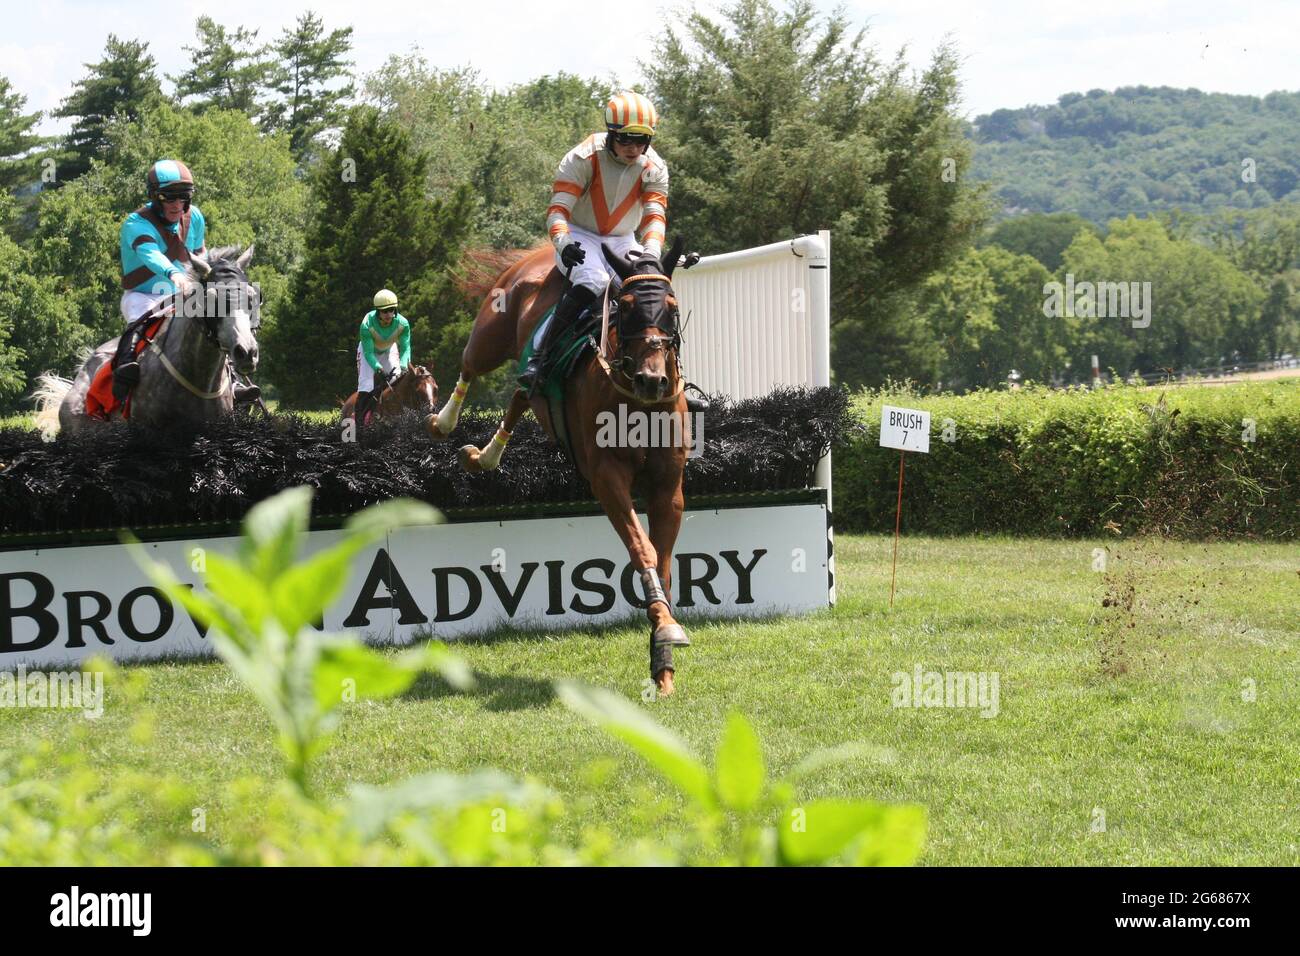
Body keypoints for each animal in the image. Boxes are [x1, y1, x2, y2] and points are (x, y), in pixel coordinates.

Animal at [426, 239, 691, 697]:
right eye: (624, 308)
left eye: (671, 308)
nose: (651, 380)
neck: (637, 403)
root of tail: (539, 252)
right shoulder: (606, 479)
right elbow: (643, 550)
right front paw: (664, 631)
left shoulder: (668, 488)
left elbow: (663, 561)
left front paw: (664, 654)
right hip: (491, 333)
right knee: (470, 366)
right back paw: (443, 422)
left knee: (521, 392)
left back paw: (486, 455)